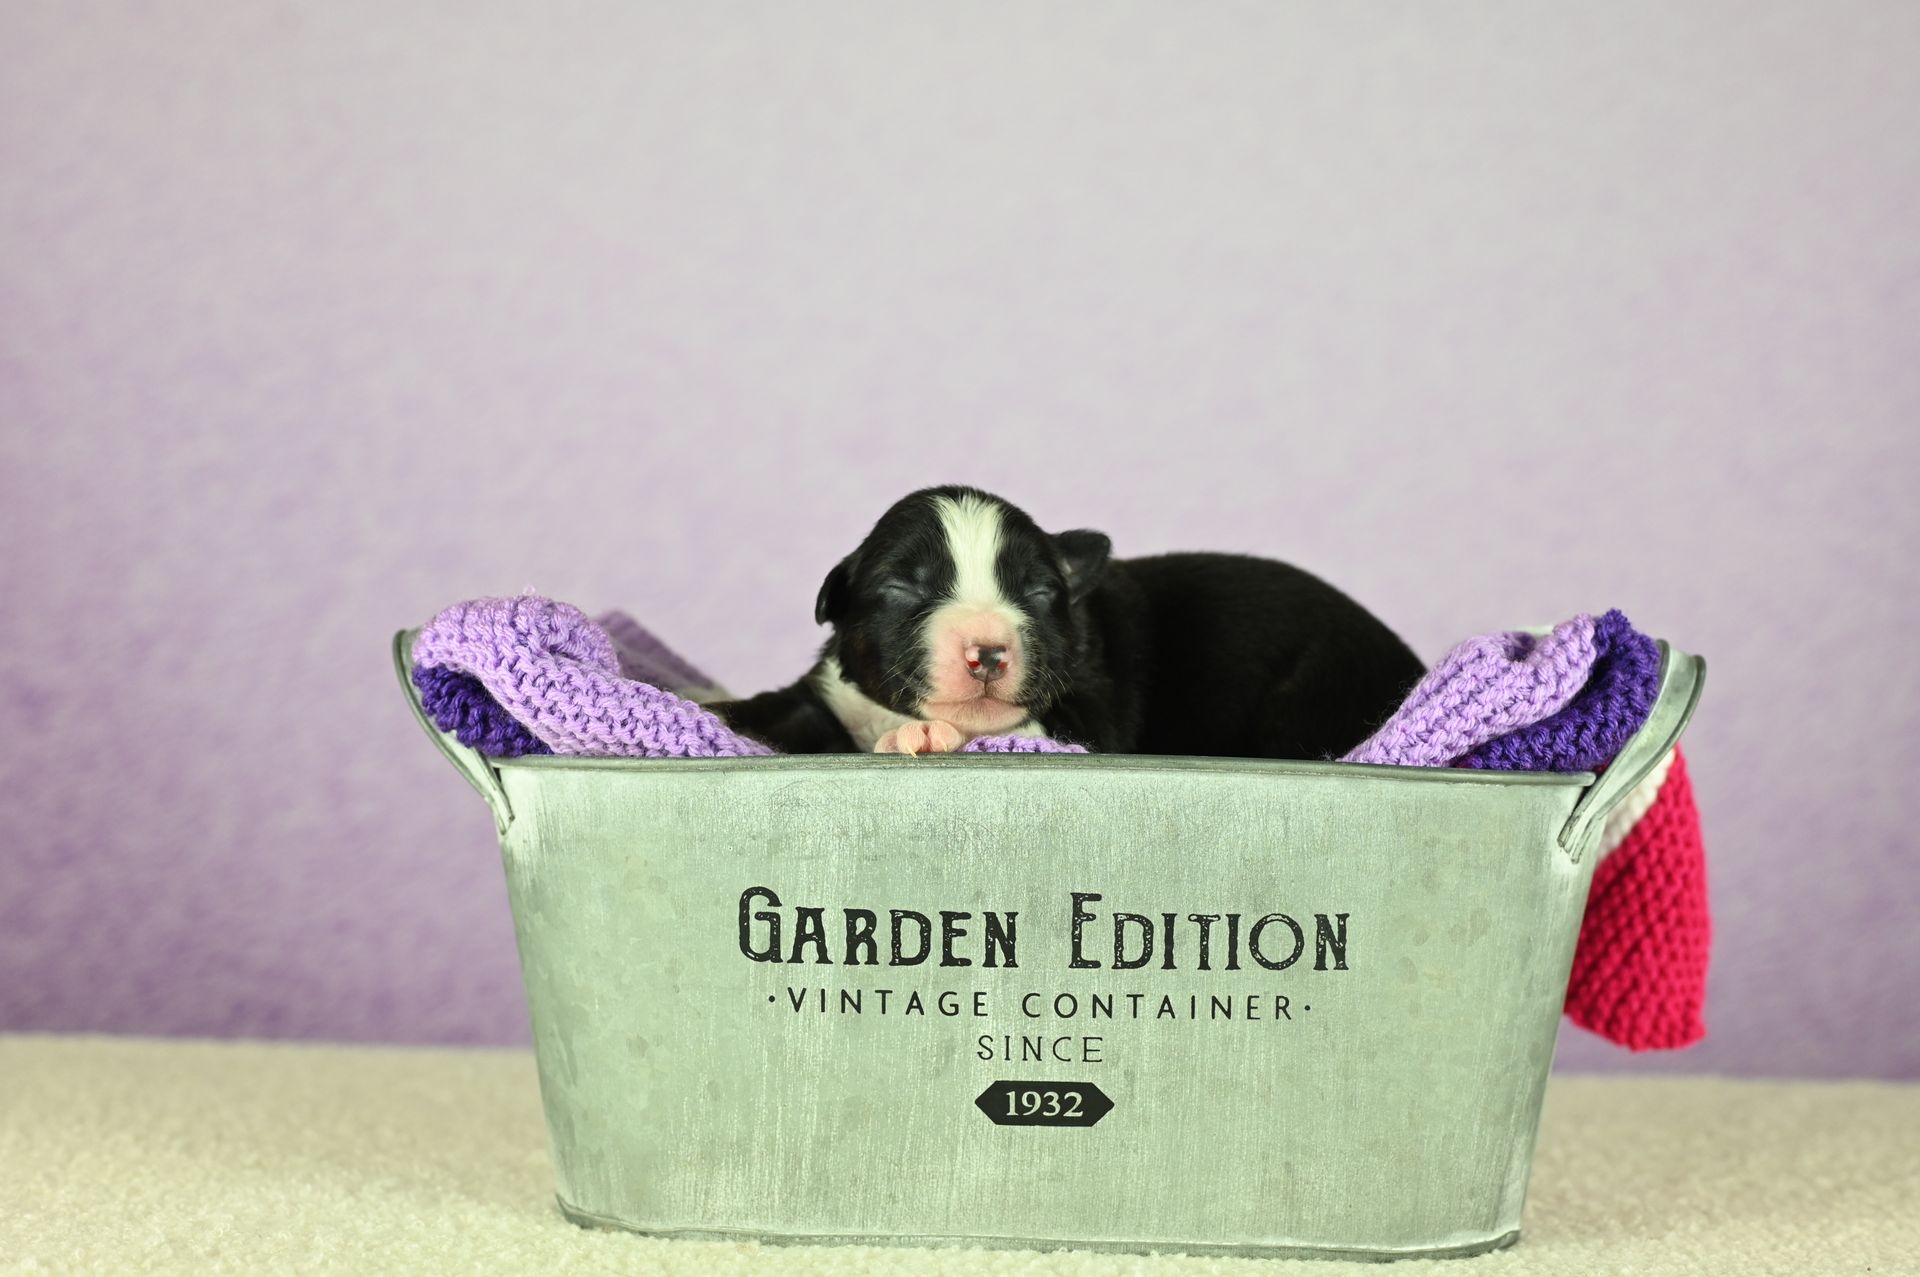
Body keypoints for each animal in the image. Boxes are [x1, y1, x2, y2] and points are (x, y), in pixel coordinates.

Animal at [713, 486, 1424, 758]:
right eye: (899, 586)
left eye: (1038, 591)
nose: (987, 652)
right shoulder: (822, 698)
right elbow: (764, 713)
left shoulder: (1092, 713)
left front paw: (927, 737)